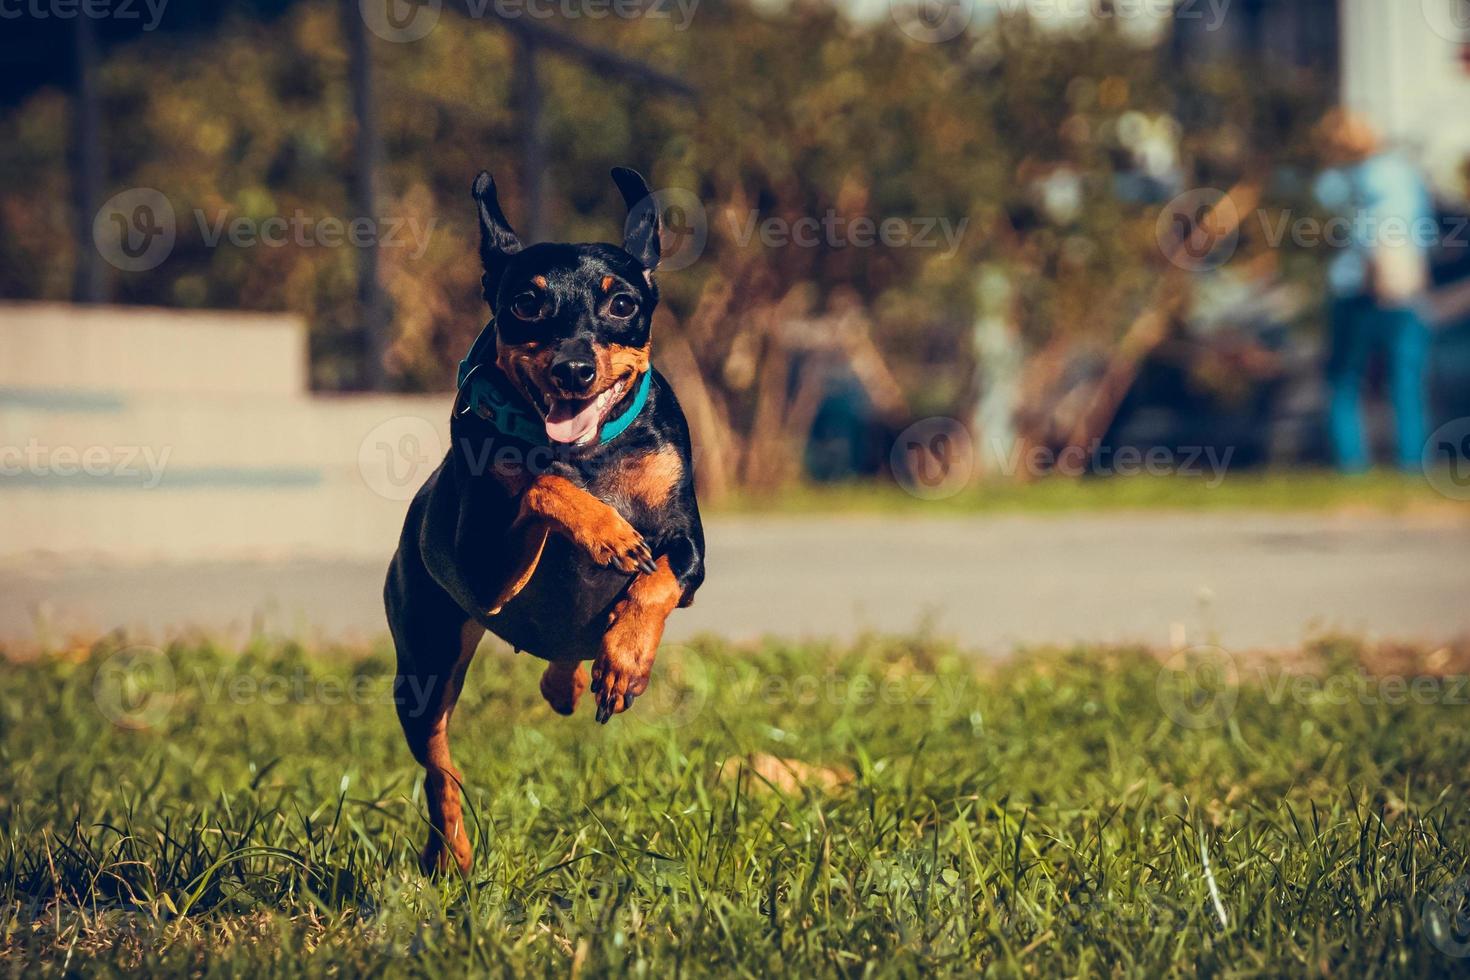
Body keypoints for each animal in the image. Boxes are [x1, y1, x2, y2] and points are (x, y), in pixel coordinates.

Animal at [385, 166, 705, 875]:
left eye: (622, 305)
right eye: (527, 303)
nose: (574, 369)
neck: (590, 453)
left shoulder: (691, 549)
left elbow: (659, 579)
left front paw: (625, 660)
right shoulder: (481, 574)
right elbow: (538, 484)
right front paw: (606, 532)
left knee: (565, 652)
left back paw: (575, 677)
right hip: (425, 665)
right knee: (439, 772)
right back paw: (453, 854)